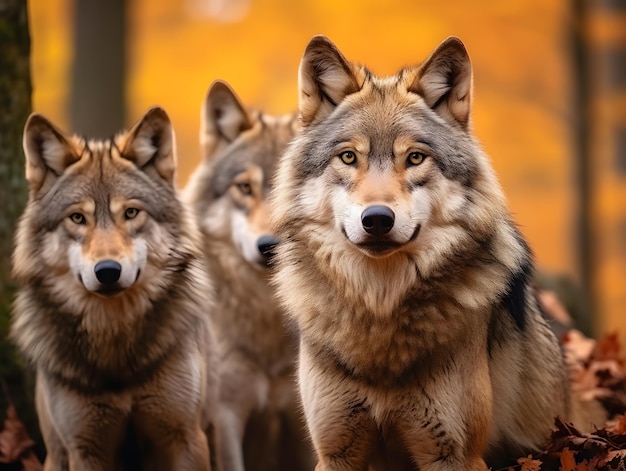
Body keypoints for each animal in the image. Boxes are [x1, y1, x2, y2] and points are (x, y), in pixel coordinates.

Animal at [9, 108, 219, 471]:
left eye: (131, 213)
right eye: (77, 218)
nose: (107, 271)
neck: (114, 338)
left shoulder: (185, 437)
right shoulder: (84, 448)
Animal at [270, 35, 572, 470]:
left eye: (415, 157)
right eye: (348, 156)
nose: (377, 219)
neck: (380, 310)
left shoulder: (453, 454)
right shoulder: (336, 452)